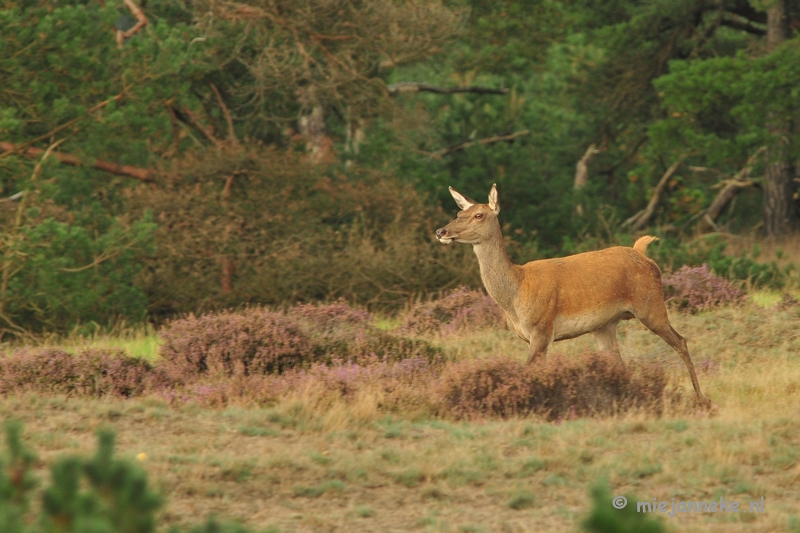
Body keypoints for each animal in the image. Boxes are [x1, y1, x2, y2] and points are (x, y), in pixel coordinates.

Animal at [438, 184, 712, 408]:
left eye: (479, 215)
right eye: (459, 214)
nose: (442, 231)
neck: (515, 295)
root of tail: (643, 254)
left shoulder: (542, 328)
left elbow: (526, 370)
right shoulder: (532, 337)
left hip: (651, 305)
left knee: (681, 341)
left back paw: (701, 398)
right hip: (605, 325)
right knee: (618, 360)